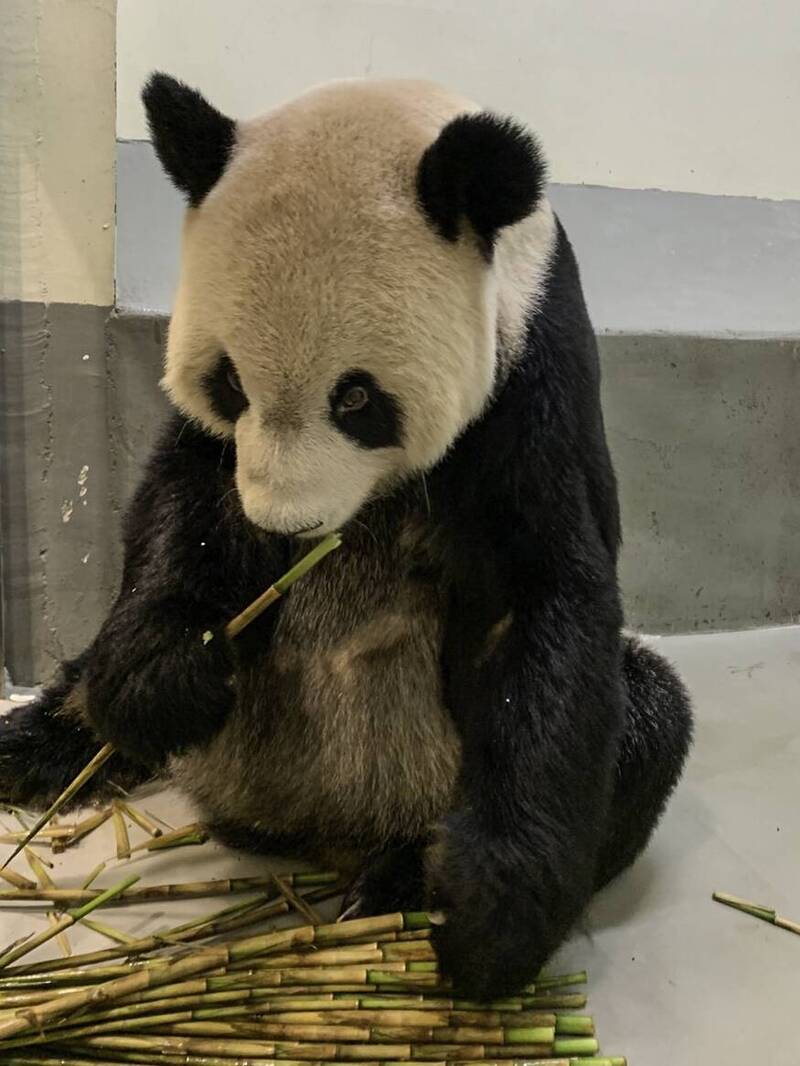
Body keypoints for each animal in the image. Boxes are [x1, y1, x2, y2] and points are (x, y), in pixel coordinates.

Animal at [0, 75, 691, 997]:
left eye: (356, 398)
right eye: (230, 381)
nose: (284, 524)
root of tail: (312, 827)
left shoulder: (535, 371)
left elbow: (542, 598)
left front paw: (488, 917)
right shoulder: (214, 459)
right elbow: (183, 497)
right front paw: (167, 676)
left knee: (647, 719)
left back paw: (401, 881)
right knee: (80, 689)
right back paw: (33, 747)